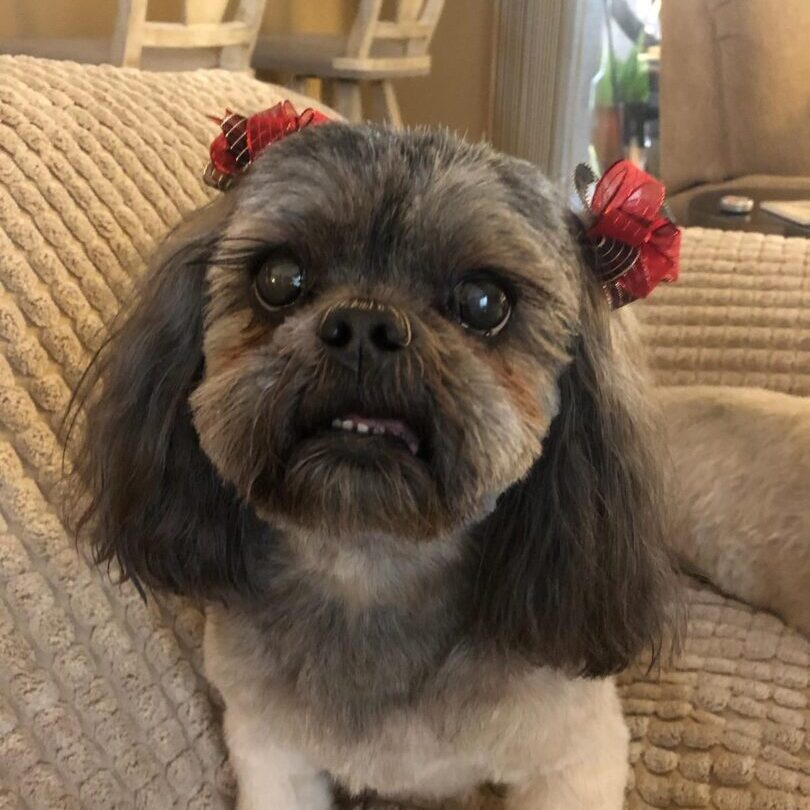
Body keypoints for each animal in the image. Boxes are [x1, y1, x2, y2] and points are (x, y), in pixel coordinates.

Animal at [69, 109, 676, 808]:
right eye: (278, 278)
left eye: (485, 302)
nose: (364, 324)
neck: (370, 568)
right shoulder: (271, 750)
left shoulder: (576, 759)